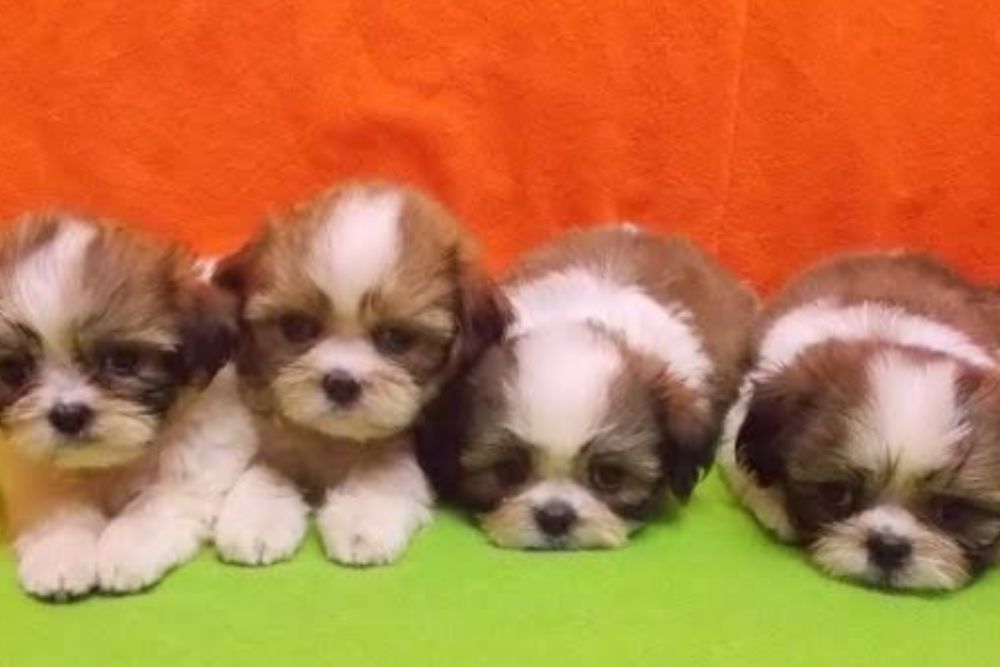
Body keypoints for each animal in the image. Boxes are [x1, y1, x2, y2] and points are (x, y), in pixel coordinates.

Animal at [0, 213, 253, 599]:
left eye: (122, 362)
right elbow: (57, 503)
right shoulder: (33, 464)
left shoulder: (197, 459)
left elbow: (153, 505)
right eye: (15, 371)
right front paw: (59, 554)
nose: (68, 414)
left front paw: (125, 551)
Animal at [211, 181, 506, 566]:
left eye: (396, 338)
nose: (340, 383)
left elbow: (382, 471)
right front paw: (258, 518)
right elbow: (267, 468)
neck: (334, 440)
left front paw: (362, 521)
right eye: (297, 327)